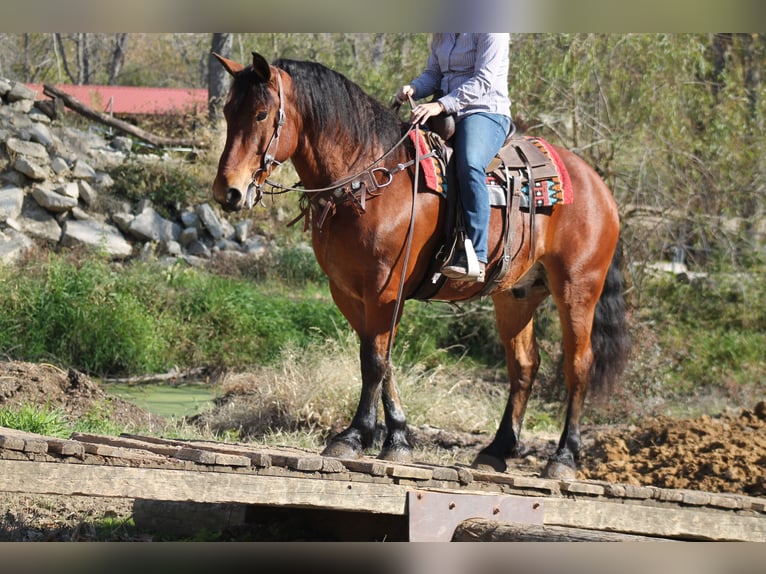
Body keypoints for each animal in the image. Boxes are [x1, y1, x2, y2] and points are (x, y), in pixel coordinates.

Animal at [211, 52, 630, 479]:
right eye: (228, 111)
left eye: (262, 114)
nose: (228, 191)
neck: (367, 178)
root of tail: (598, 184)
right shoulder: (349, 292)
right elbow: (383, 360)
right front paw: (397, 439)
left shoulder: (384, 289)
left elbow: (374, 362)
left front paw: (354, 436)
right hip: (517, 295)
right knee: (524, 366)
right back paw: (496, 450)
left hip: (577, 289)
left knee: (579, 366)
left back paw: (563, 458)